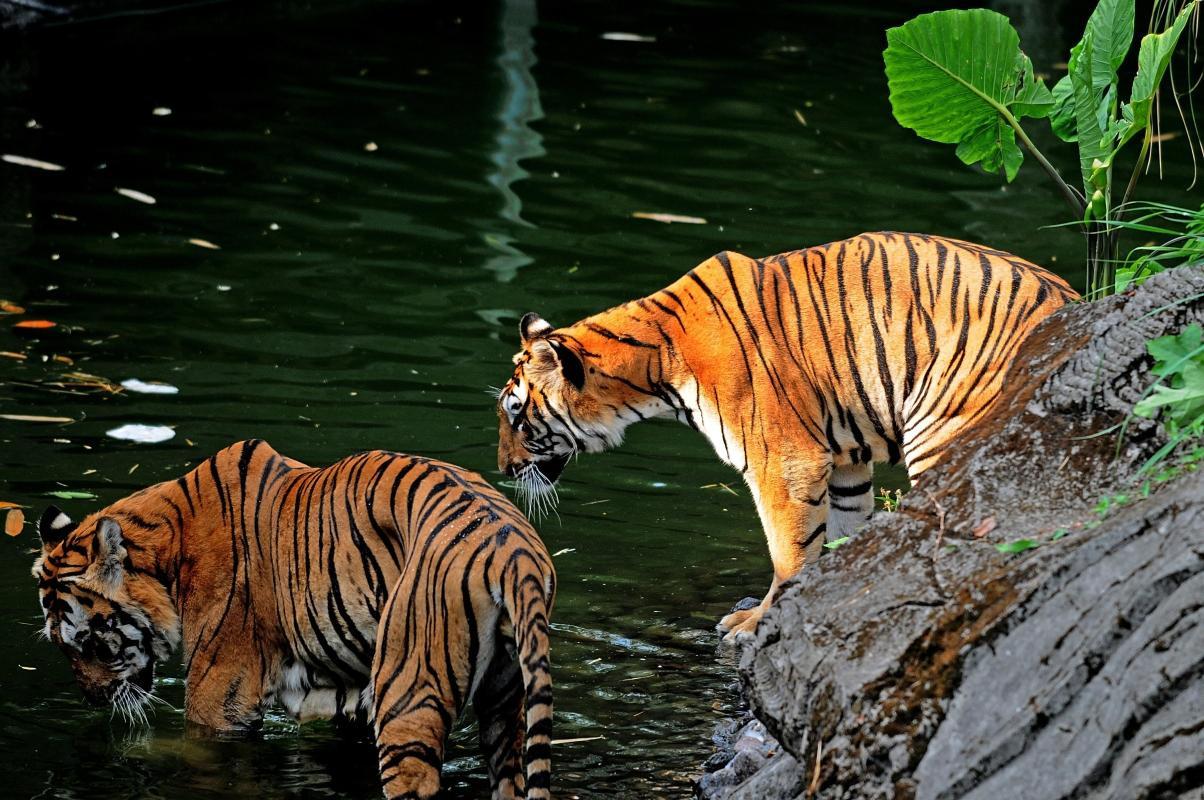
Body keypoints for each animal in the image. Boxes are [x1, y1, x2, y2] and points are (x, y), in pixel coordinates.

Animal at [32, 440, 556, 795]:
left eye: (90, 644)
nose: (92, 700)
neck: (170, 549)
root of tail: (515, 550)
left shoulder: (218, 699)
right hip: (505, 705)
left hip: (410, 694)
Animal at [493, 231, 1078, 645]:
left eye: (517, 416)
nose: (502, 469)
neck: (656, 364)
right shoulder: (845, 460)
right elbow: (838, 536)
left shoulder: (784, 461)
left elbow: (789, 553)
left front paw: (757, 624)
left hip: (944, 433)